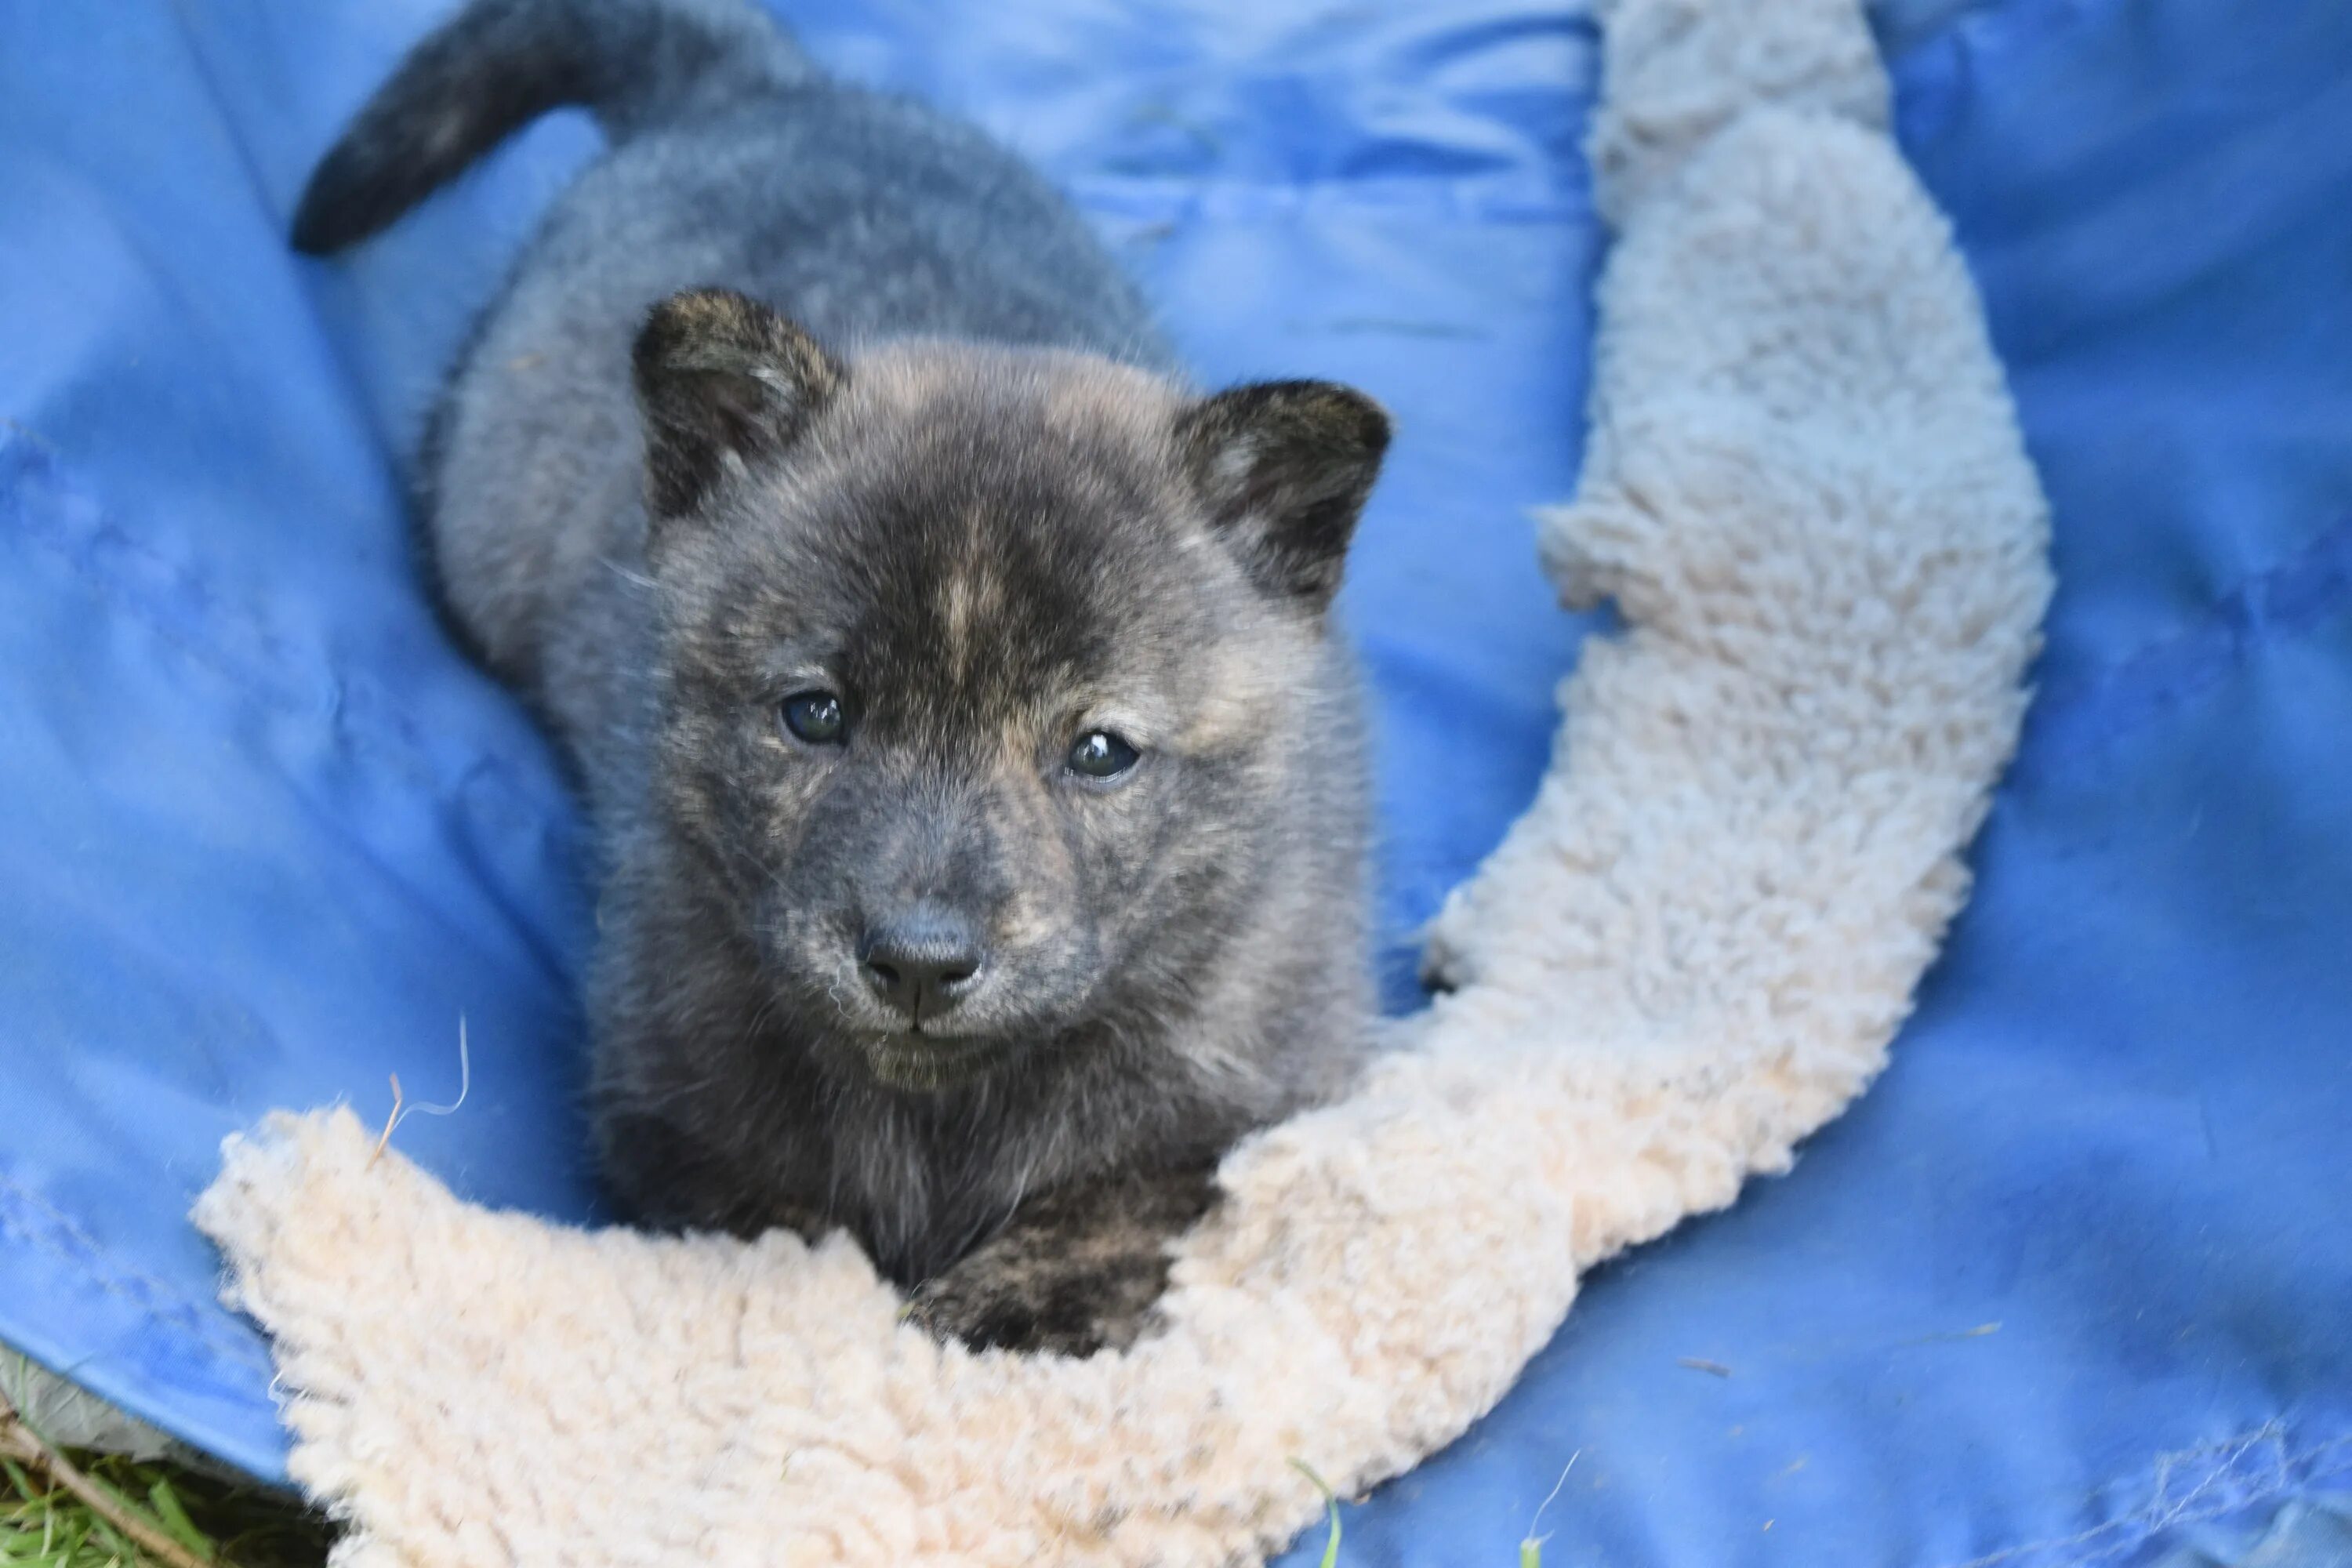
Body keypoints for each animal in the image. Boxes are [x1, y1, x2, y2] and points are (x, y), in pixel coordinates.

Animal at [301, 0, 1383, 1354]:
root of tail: (761, 85)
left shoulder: (1252, 1101)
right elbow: (792, 1242)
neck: (945, 1100)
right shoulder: (675, 1116)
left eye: (1100, 751)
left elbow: (1121, 1208)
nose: (918, 963)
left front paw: (990, 1310)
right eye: (813, 714)